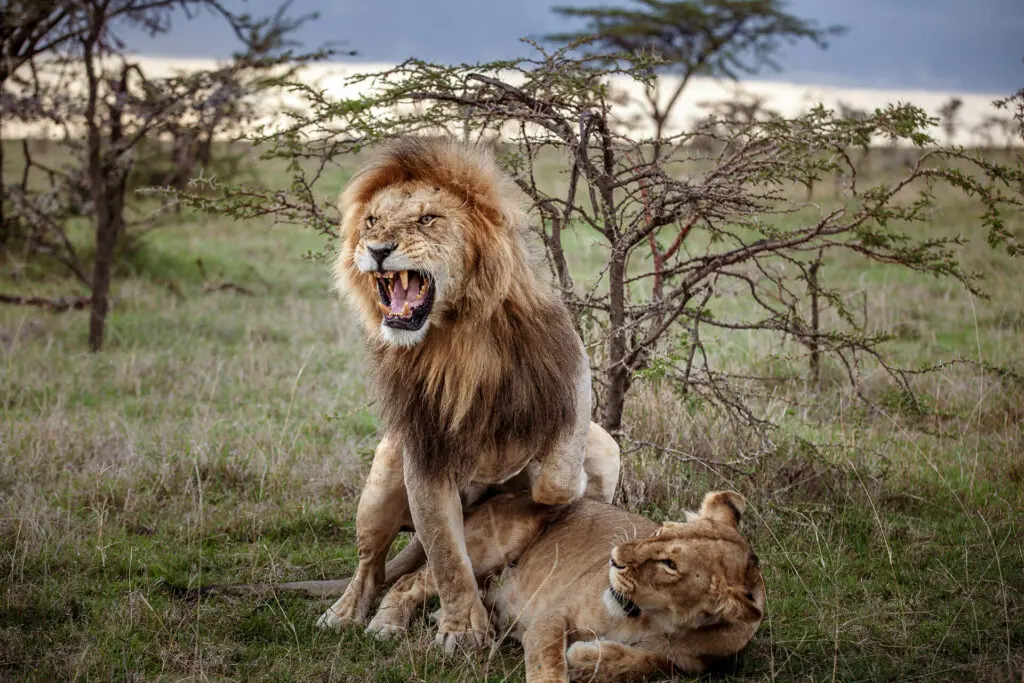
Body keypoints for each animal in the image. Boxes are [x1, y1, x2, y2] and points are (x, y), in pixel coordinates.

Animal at [317, 137, 621, 648]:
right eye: (372, 221)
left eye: (427, 219)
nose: (376, 249)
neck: (454, 336)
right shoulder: (423, 448)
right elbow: (446, 555)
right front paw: (462, 631)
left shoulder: (569, 377)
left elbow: (557, 483)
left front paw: (540, 481)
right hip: (383, 475)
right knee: (374, 567)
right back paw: (348, 615)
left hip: (607, 446)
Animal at [368, 490, 765, 682]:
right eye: (660, 531)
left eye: (671, 565)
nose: (614, 558)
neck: (653, 621)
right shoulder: (551, 616)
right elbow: (548, 662)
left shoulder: (697, 665)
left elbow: (650, 663)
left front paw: (587, 657)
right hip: (488, 547)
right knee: (411, 582)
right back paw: (386, 626)